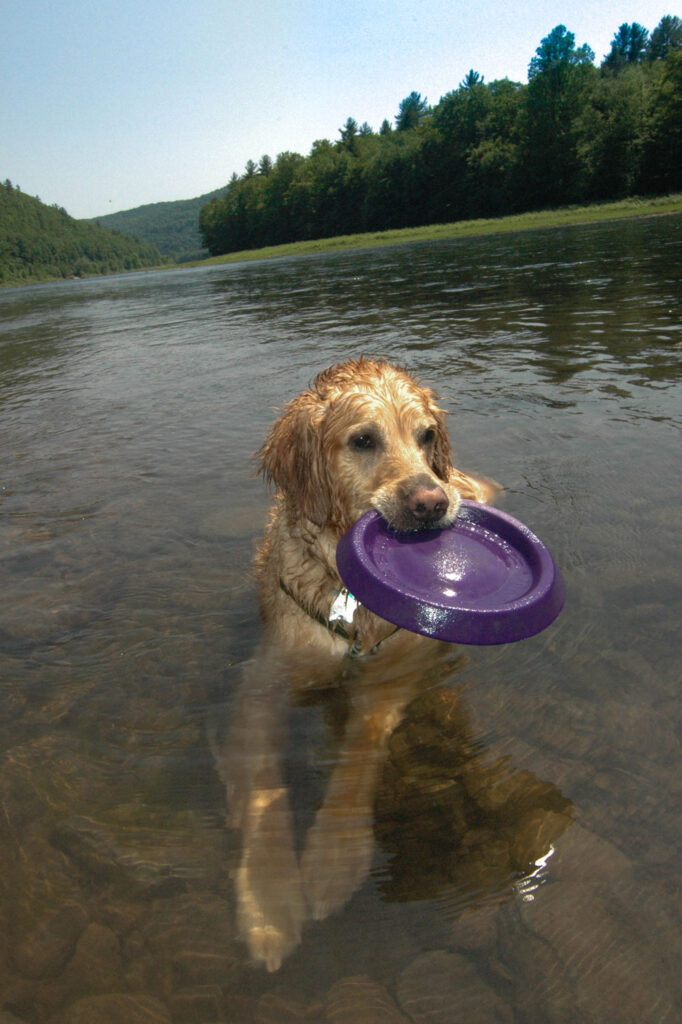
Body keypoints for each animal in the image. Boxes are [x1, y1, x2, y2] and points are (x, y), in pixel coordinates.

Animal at [213, 357, 497, 971]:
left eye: (426, 436)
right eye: (363, 440)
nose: (431, 502)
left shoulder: (391, 675)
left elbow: (358, 758)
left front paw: (331, 859)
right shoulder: (263, 684)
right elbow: (264, 791)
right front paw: (269, 903)